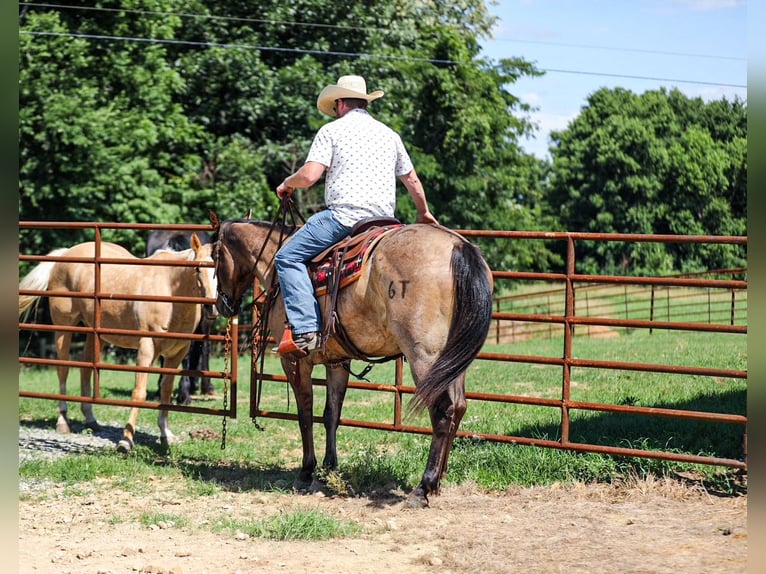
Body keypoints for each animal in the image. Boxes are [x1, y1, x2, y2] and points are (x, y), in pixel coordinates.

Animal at [209, 210, 494, 506]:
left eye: (214, 256)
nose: (220, 305)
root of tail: (458, 246)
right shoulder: (338, 361)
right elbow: (331, 415)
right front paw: (329, 469)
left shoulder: (295, 362)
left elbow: (305, 414)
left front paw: (306, 472)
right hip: (452, 358)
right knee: (458, 407)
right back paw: (438, 482)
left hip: (425, 356)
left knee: (442, 410)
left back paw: (422, 488)